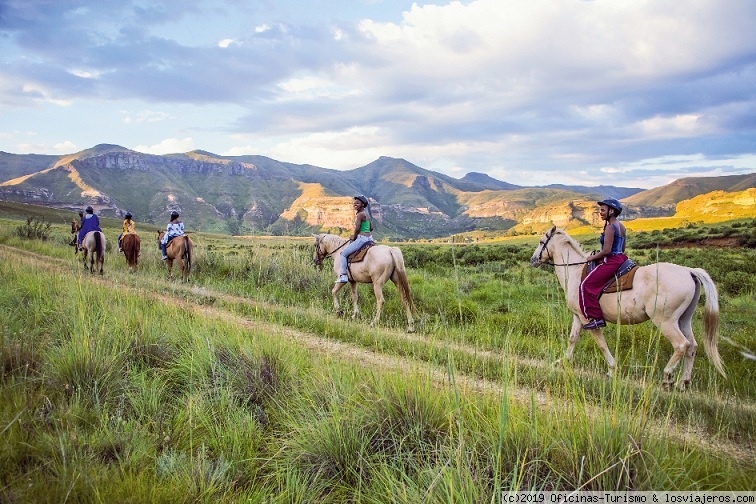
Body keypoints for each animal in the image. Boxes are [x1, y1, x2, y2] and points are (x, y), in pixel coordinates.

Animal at [528, 227, 724, 390]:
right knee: (692, 346)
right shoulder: (578, 316)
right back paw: (683, 382)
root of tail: (689, 272)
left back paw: (667, 377)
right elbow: (572, 339)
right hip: (683, 320)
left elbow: (601, 343)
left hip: (665, 321)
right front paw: (562, 361)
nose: (532, 260)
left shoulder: (588, 319)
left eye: (541, 242)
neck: (575, 272)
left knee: (682, 344)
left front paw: (611, 369)